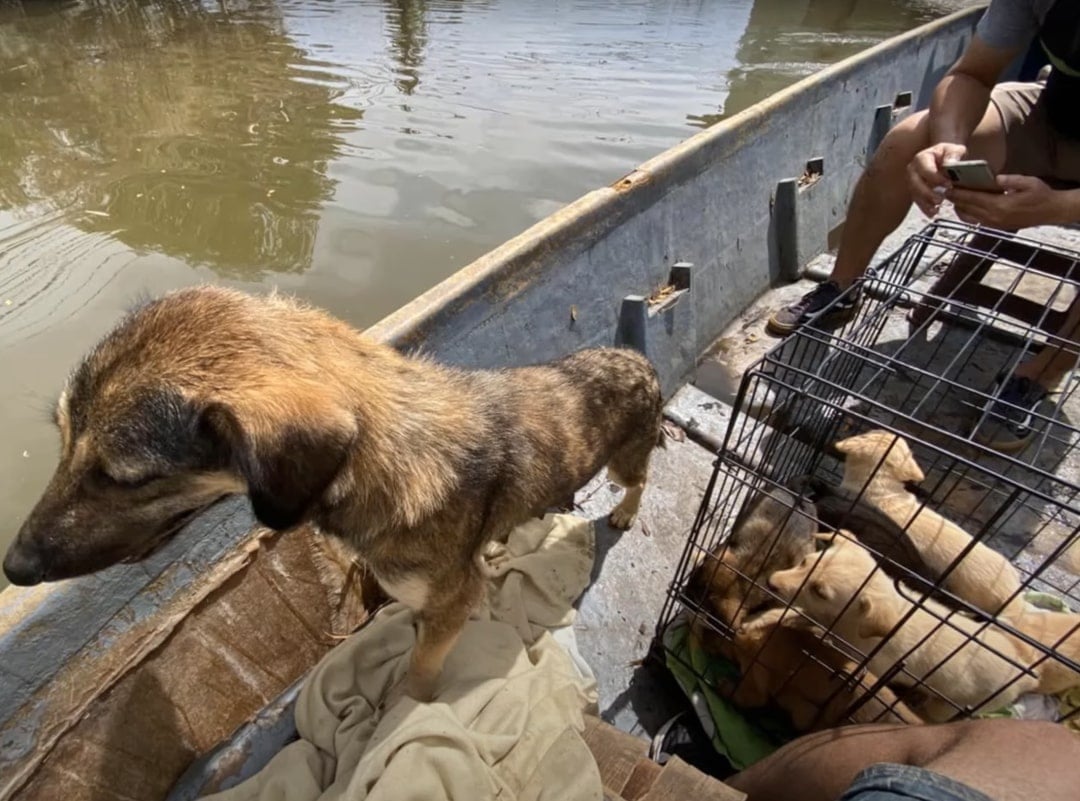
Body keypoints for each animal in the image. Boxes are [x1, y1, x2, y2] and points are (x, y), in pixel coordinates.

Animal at [4, 287, 660, 703]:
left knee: (640, 480)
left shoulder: (453, 601)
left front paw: (409, 709)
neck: (376, 461)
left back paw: (625, 513)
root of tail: (635, 354)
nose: (14, 567)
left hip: (627, 457)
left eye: (125, 477)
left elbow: (420, 669)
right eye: (61, 438)